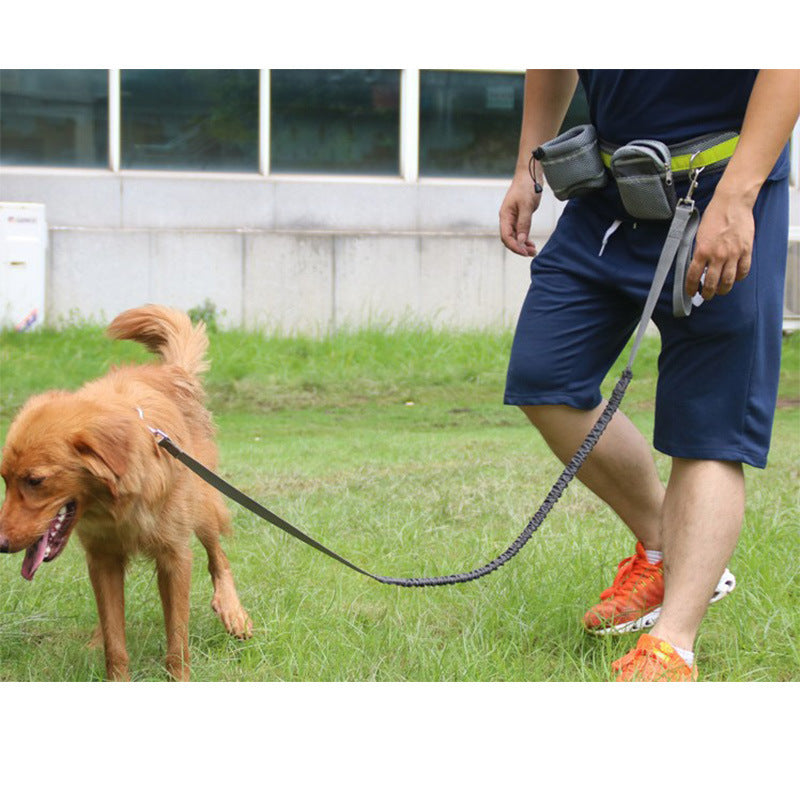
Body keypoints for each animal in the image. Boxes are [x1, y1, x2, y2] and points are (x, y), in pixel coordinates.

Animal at [0, 306, 252, 680]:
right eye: (4, 479)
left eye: (35, 480)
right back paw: (94, 639)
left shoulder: (175, 557)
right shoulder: (102, 558)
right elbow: (115, 641)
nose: (0, 545)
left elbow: (177, 639)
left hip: (203, 503)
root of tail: (170, 372)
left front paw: (180, 677)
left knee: (218, 556)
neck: (116, 505)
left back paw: (233, 612)